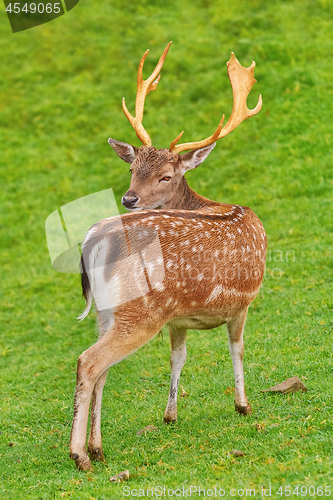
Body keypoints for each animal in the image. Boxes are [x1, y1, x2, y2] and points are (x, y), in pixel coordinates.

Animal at [68, 42, 266, 468]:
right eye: (131, 170)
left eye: (165, 176)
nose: (128, 198)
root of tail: (95, 238)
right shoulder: (243, 303)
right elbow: (237, 347)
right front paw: (243, 405)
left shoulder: (178, 319)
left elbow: (178, 357)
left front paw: (170, 414)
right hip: (138, 313)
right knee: (88, 362)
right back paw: (80, 455)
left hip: (108, 314)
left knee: (102, 369)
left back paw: (97, 447)